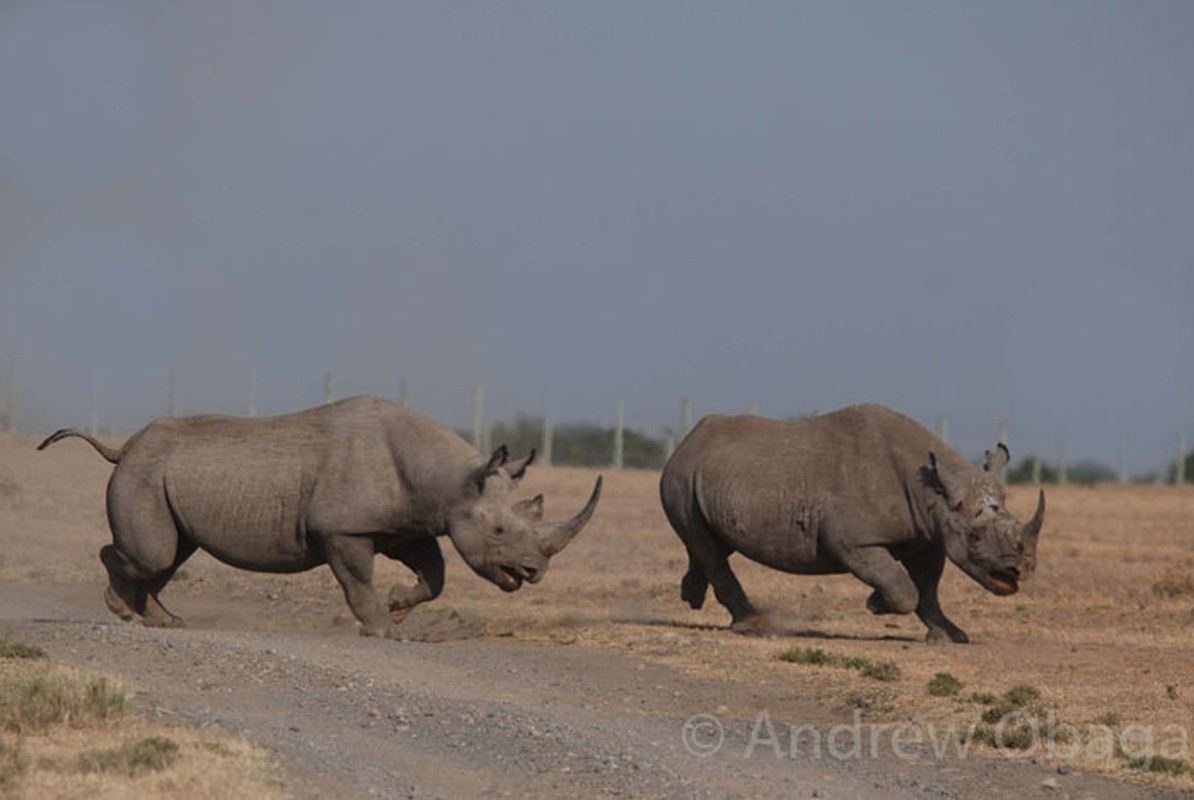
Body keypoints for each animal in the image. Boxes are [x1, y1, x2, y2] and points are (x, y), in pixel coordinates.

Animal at [38, 394, 601, 640]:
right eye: (500, 530)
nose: (533, 572)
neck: (453, 481)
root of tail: (124, 445)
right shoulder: (343, 529)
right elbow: (358, 581)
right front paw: (384, 630)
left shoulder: (406, 523)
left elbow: (434, 575)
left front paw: (397, 607)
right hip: (144, 472)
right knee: (154, 554)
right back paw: (121, 608)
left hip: (161, 474)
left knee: (172, 554)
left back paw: (165, 621)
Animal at [663, 403, 1045, 644]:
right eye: (976, 537)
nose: (1019, 572)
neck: (935, 495)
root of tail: (687, 441)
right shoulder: (852, 540)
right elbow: (905, 587)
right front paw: (875, 603)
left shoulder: (926, 537)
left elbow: (927, 589)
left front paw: (950, 636)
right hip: (680, 478)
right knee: (705, 544)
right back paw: (753, 626)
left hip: (714, 477)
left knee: (711, 543)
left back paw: (691, 596)